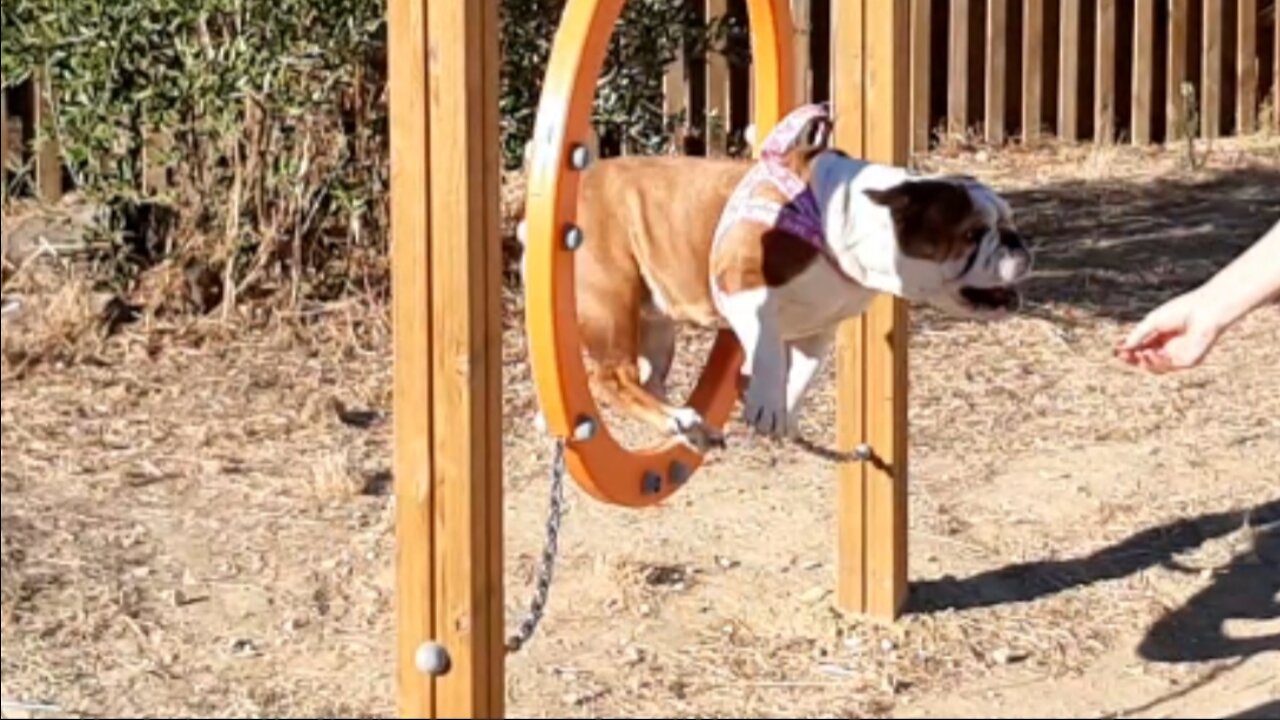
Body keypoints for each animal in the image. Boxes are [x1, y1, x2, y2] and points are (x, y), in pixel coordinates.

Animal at [517, 102, 1029, 448]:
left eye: (1008, 220)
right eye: (973, 233)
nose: (1017, 242)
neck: (846, 220)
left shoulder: (818, 329)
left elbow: (801, 373)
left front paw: (783, 412)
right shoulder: (743, 283)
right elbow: (765, 349)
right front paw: (764, 400)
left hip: (655, 323)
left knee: (643, 376)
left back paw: (682, 420)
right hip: (611, 299)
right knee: (612, 378)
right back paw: (677, 420)